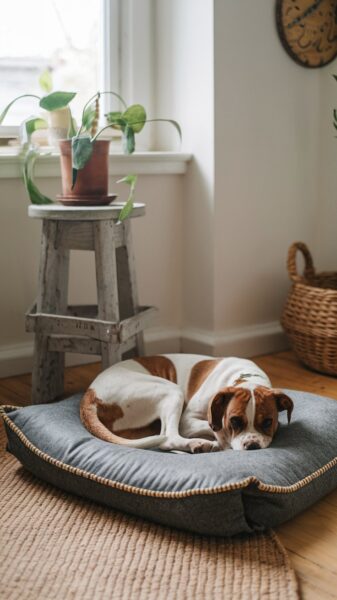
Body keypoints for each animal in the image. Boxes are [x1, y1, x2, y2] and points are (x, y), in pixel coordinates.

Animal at [79, 354, 292, 452]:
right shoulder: (187, 420)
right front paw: (219, 438)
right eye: (234, 421)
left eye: (268, 422)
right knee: (168, 438)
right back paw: (197, 443)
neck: (244, 378)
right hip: (172, 391)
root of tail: (91, 392)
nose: (252, 445)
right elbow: (212, 426)